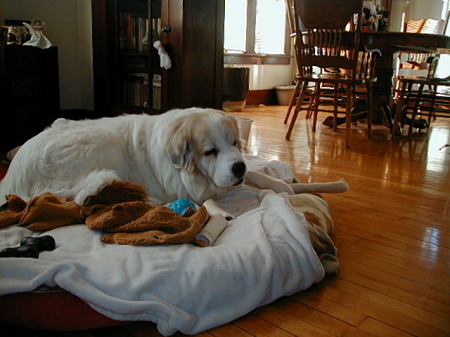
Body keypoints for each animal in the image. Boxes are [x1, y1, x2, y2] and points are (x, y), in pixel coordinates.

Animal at [0, 107, 250, 205]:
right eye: (210, 152)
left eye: (234, 143)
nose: (240, 168)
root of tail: (12, 181)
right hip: (105, 139)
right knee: (81, 197)